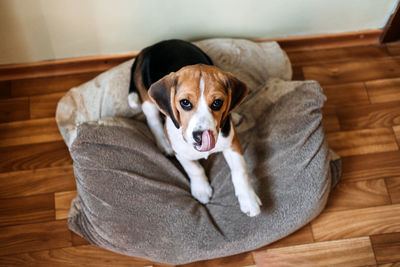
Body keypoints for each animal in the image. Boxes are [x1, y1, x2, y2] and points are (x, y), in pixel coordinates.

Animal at [126, 40, 260, 219]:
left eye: (217, 103)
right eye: (185, 103)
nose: (200, 136)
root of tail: (153, 46)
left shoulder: (232, 143)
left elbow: (240, 171)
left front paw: (249, 199)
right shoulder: (181, 152)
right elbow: (194, 169)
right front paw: (201, 189)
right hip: (148, 99)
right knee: (153, 119)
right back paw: (163, 143)